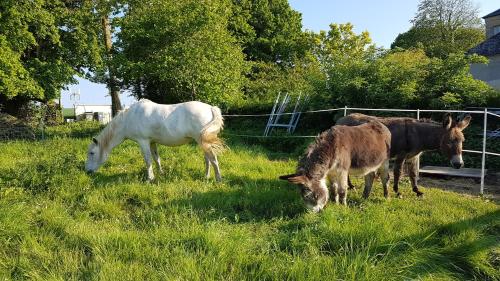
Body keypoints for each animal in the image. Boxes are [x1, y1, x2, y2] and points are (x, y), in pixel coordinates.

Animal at [85, 98, 225, 180]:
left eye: (92, 153)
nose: (88, 171)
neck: (129, 118)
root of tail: (211, 108)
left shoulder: (143, 141)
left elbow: (148, 160)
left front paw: (150, 178)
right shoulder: (152, 142)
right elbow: (156, 159)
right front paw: (161, 173)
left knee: (213, 158)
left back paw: (218, 179)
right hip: (202, 142)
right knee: (208, 159)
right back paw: (206, 176)